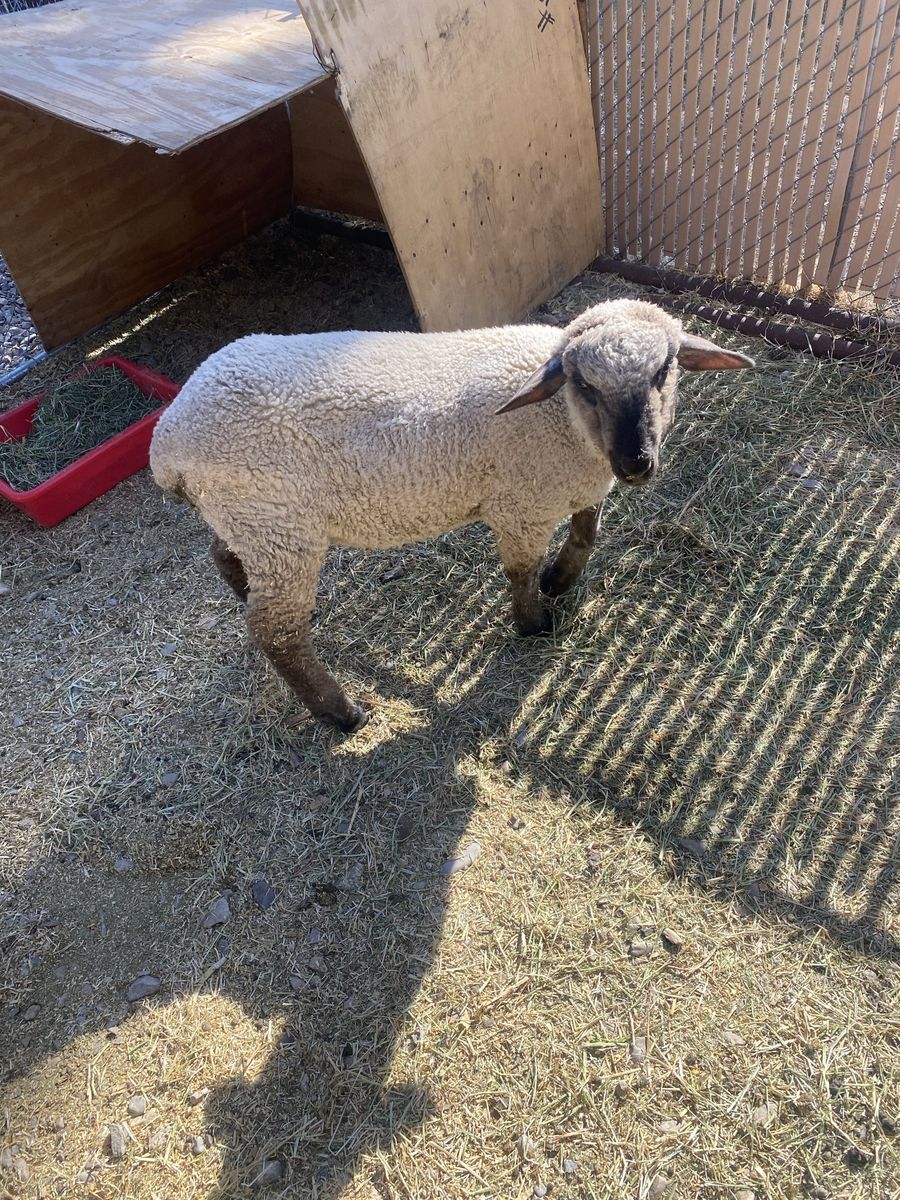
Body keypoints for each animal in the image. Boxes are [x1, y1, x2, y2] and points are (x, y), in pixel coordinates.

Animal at [150, 299, 753, 733]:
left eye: (664, 370)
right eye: (584, 384)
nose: (636, 464)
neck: (564, 423)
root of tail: (168, 440)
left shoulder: (574, 487)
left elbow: (587, 532)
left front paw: (562, 579)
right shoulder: (522, 507)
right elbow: (520, 573)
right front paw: (533, 624)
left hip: (250, 522)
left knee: (223, 555)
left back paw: (242, 593)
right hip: (279, 527)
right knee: (276, 633)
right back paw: (341, 713)